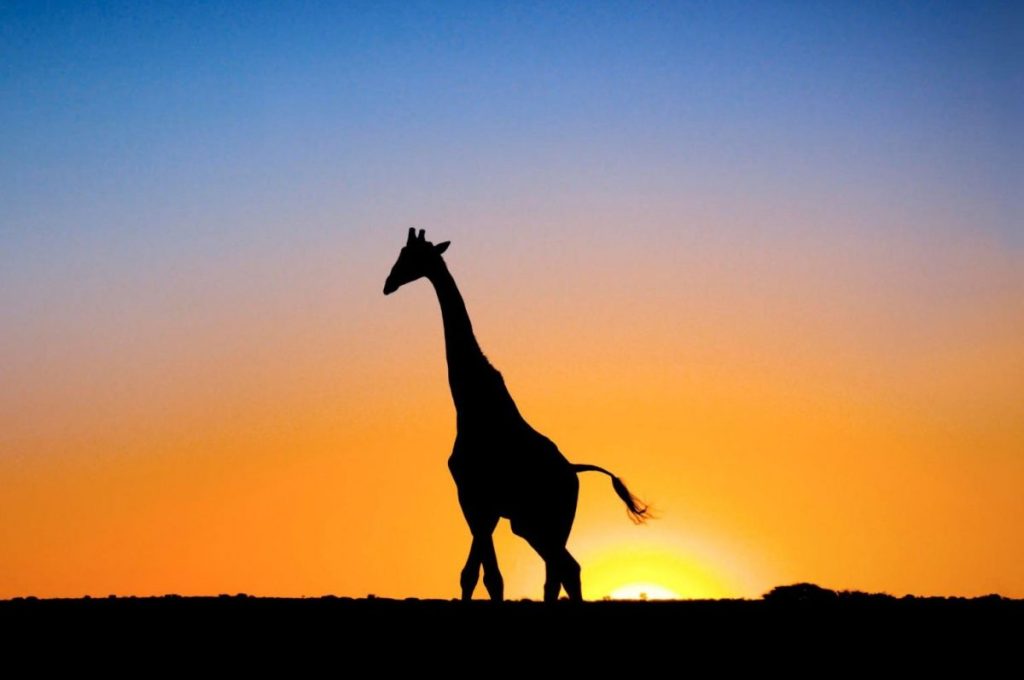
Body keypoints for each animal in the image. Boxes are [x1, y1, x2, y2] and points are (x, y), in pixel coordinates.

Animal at [385, 228, 647, 602]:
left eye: (412, 256)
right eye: (401, 253)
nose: (388, 283)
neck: (471, 403)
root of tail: (574, 471)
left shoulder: (476, 497)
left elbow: (483, 576)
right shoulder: (482, 504)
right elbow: (478, 575)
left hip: (543, 521)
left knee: (565, 568)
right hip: (535, 524)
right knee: (562, 570)